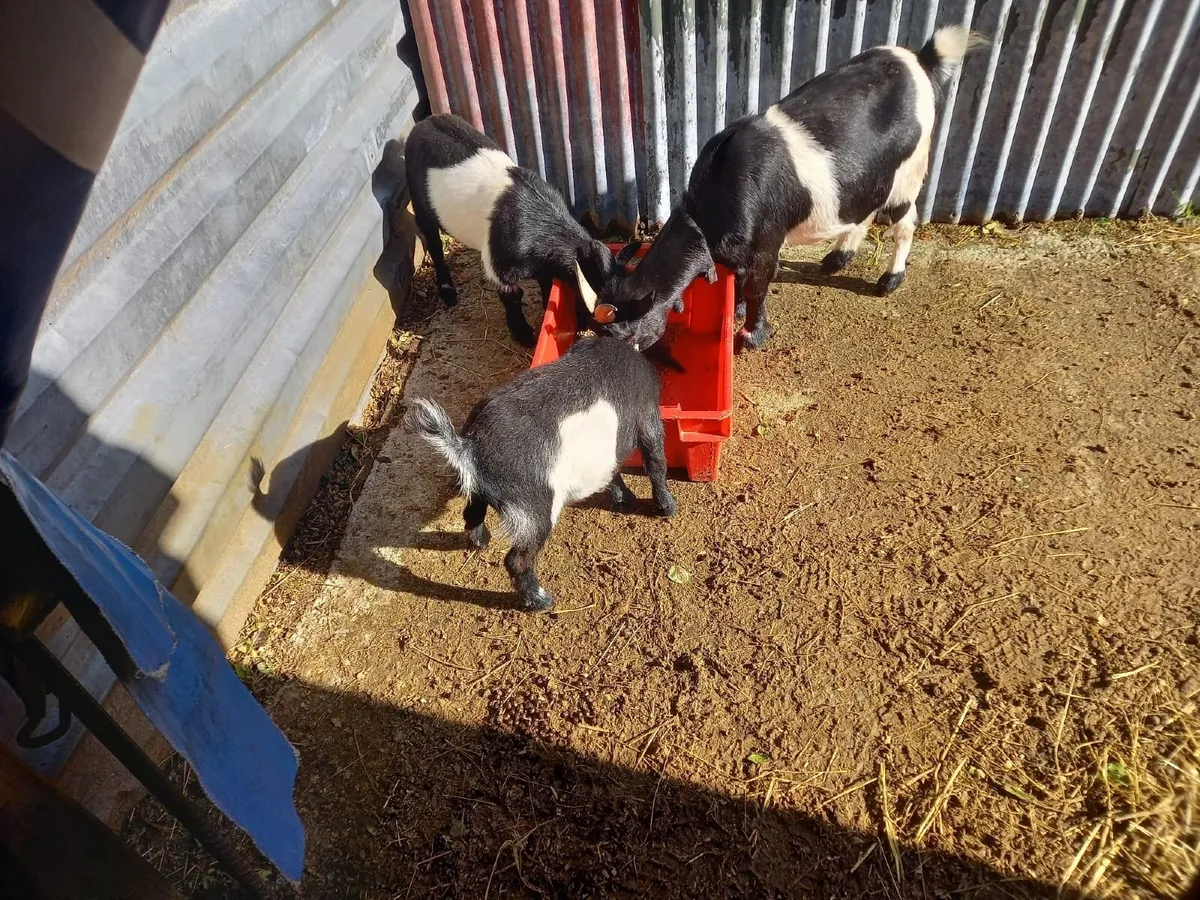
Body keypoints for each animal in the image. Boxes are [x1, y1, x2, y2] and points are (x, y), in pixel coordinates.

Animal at [405, 114, 639, 347]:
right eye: (599, 316)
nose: (630, 338)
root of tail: (425, 121)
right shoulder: (498, 265)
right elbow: (512, 297)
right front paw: (525, 337)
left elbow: (547, 284)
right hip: (419, 204)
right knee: (434, 243)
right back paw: (448, 293)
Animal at [405, 327, 676, 611]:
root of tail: (468, 445)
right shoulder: (648, 416)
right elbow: (656, 462)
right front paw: (667, 509)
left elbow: (612, 472)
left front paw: (626, 501)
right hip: (535, 509)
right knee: (516, 559)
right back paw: (541, 600)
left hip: (479, 489)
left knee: (471, 514)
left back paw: (483, 543)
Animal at [589, 25, 982, 352]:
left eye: (630, 337)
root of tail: (920, 58)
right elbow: (742, 283)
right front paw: (738, 312)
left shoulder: (766, 240)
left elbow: (757, 285)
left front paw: (751, 337)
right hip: (872, 176)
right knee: (864, 208)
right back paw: (836, 260)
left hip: (910, 169)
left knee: (904, 222)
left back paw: (888, 281)